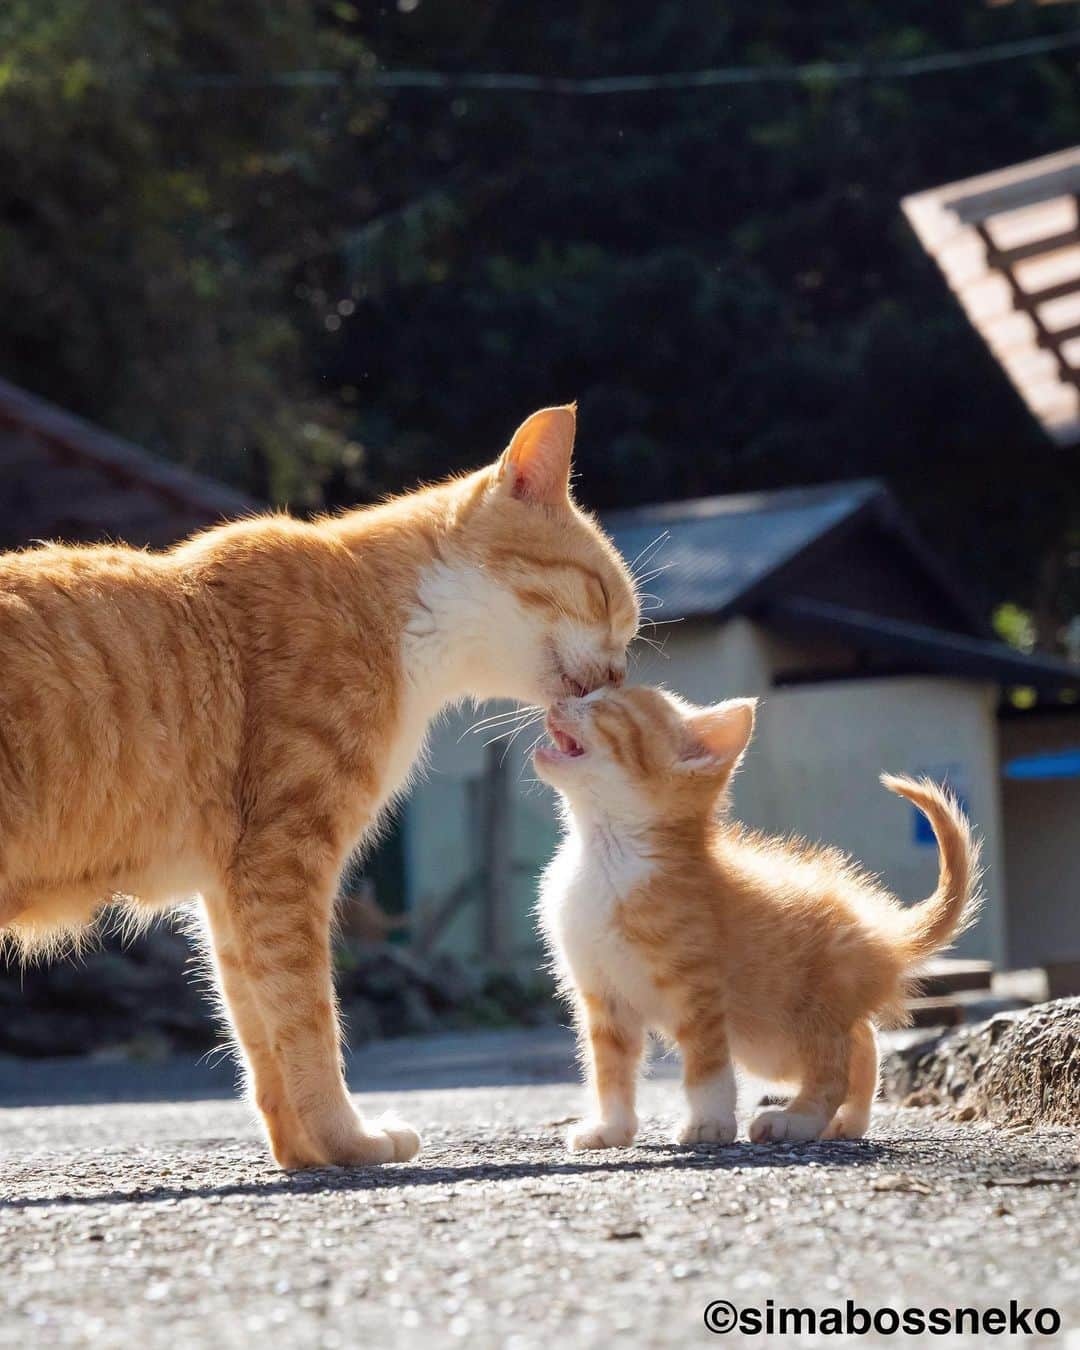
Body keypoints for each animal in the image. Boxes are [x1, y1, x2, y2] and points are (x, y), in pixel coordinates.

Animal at [0, 405, 637, 1166]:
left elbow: (258, 1027)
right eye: (604, 598)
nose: (621, 677)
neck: (386, 614)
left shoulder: (233, 888)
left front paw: (303, 1150)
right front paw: (349, 1138)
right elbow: (307, 1016)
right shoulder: (284, 859)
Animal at [534, 685, 982, 1150]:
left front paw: (708, 1124)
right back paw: (848, 1121)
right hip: (774, 1041)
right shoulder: (603, 995)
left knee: (835, 1066)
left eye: (604, 704)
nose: (558, 700)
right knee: (864, 1044)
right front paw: (611, 1127)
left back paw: (798, 1120)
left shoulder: (701, 989)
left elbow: (707, 1065)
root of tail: (881, 934)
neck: (608, 856)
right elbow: (611, 1068)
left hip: (808, 1012)